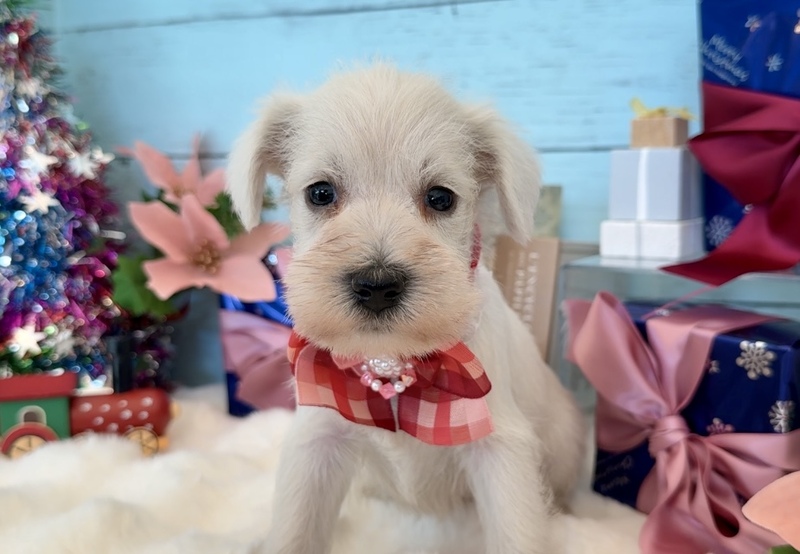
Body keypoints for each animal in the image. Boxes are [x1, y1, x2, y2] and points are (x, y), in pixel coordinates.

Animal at [226, 63, 586, 554]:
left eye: (440, 198)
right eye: (320, 193)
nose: (377, 285)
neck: (394, 364)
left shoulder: (500, 449)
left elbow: (517, 534)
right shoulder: (318, 440)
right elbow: (294, 531)